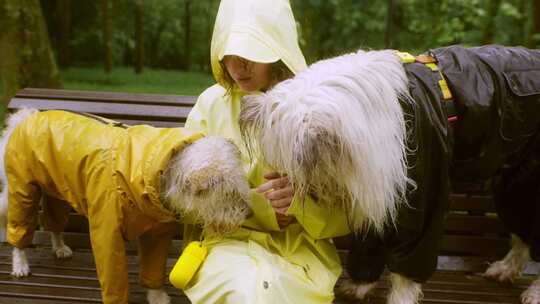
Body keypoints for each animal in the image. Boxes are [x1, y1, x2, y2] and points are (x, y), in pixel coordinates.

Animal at [0, 108, 251, 304]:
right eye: (229, 192)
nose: (249, 213)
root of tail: (24, 117)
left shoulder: (157, 233)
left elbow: (153, 270)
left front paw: (156, 296)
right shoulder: (106, 232)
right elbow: (113, 274)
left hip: (58, 191)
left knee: (54, 222)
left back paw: (60, 247)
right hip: (23, 191)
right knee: (20, 229)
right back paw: (20, 265)